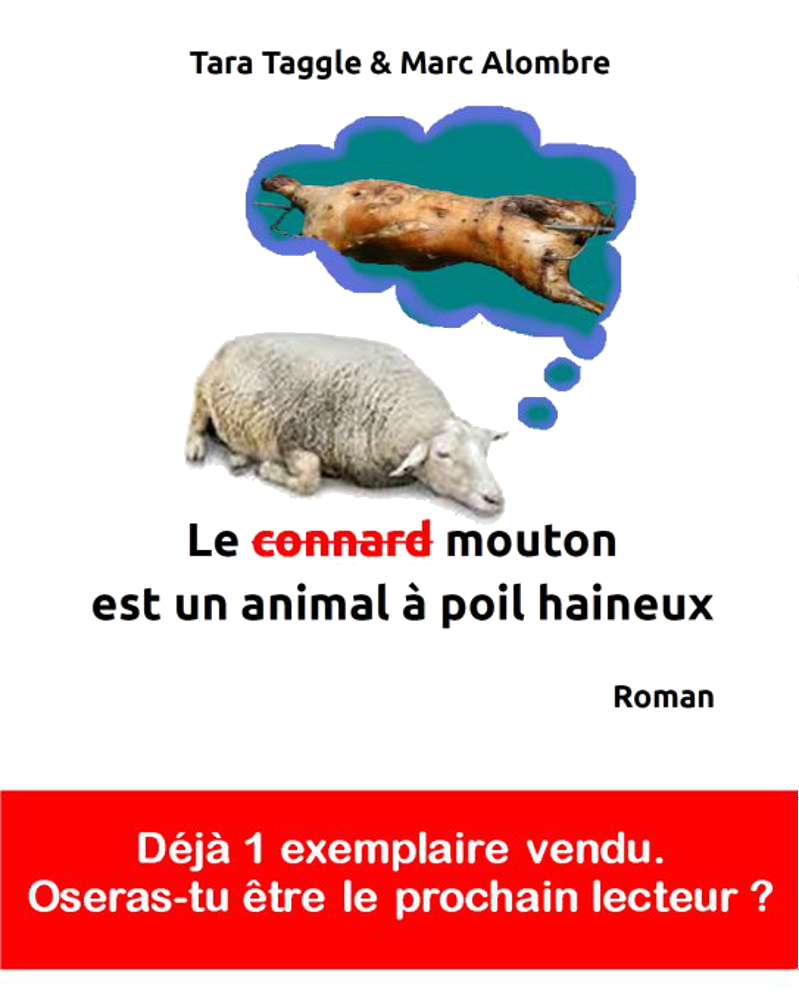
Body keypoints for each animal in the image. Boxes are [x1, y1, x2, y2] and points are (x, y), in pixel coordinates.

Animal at [185, 333, 506, 514]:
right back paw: (197, 448)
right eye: (443, 454)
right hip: (204, 387)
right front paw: (270, 470)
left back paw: (237, 457)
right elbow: (310, 477)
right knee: (198, 418)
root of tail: (236, 340)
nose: (495, 500)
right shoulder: (289, 435)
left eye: (486, 452)